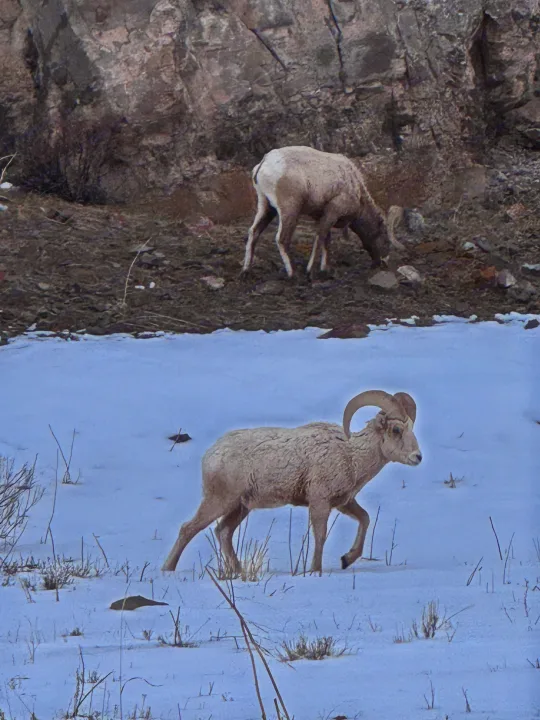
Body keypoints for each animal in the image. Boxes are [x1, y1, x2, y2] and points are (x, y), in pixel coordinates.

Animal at [161, 389, 421, 575]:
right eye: (396, 430)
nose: (417, 457)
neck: (351, 455)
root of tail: (211, 454)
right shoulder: (320, 502)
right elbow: (321, 536)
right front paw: (315, 571)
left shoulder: (343, 502)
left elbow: (365, 519)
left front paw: (347, 559)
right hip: (220, 501)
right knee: (189, 528)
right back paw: (168, 570)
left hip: (240, 507)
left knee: (223, 532)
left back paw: (238, 572)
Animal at [240, 146, 405, 279]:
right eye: (385, 239)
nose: (381, 263)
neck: (357, 190)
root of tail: (265, 162)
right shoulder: (332, 212)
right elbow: (320, 237)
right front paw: (310, 272)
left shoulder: (322, 216)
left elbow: (326, 240)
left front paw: (325, 270)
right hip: (289, 211)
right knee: (282, 239)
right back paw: (293, 274)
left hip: (267, 208)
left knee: (254, 232)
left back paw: (246, 271)